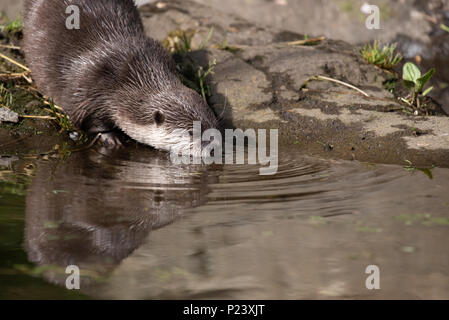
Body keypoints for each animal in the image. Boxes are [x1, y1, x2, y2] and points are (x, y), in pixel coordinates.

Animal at [22, 0, 219, 155]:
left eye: (213, 121)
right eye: (192, 132)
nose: (215, 146)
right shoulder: (86, 88)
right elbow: (86, 118)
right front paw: (110, 137)